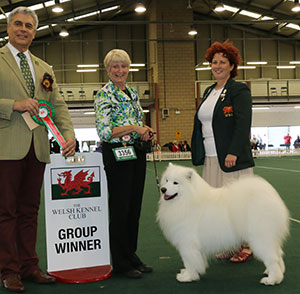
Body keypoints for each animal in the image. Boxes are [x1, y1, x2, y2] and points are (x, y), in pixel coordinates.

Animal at [158, 163, 290, 284]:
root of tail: (271, 197)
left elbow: (189, 262)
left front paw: (187, 277)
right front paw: (190, 273)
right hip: (269, 238)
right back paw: (275, 272)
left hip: (260, 238)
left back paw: (272, 279)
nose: (163, 189)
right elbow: (196, 262)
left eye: (176, 183)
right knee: (278, 254)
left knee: (272, 258)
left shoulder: (187, 243)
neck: (187, 201)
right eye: (166, 180)